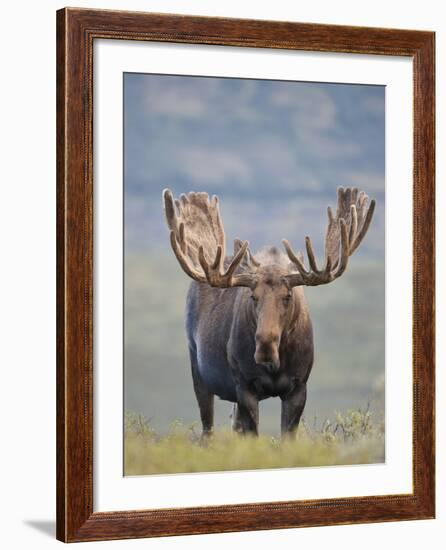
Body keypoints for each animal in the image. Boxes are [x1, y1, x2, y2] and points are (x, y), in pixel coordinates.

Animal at [162, 190, 374, 440]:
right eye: (253, 296)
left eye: (288, 296)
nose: (265, 345)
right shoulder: (244, 386)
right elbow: (252, 435)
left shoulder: (298, 387)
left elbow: (285, 437)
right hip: (197, 365)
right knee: (208, 429)